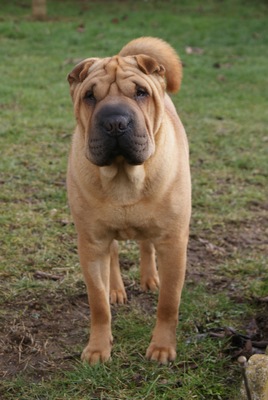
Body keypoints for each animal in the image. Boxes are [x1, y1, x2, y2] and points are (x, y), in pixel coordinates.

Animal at [68, 37, 192, 366]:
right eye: (89, 96)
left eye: (140, 92)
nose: (115, 122)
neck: (124, 176)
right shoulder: (91, 243)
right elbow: (97, 302)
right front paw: (98, 348)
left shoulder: (173, 242)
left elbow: (169, 302)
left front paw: (162, 348)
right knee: (113, 255)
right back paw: (116, 289)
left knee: (146, 244)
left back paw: (149, 278)